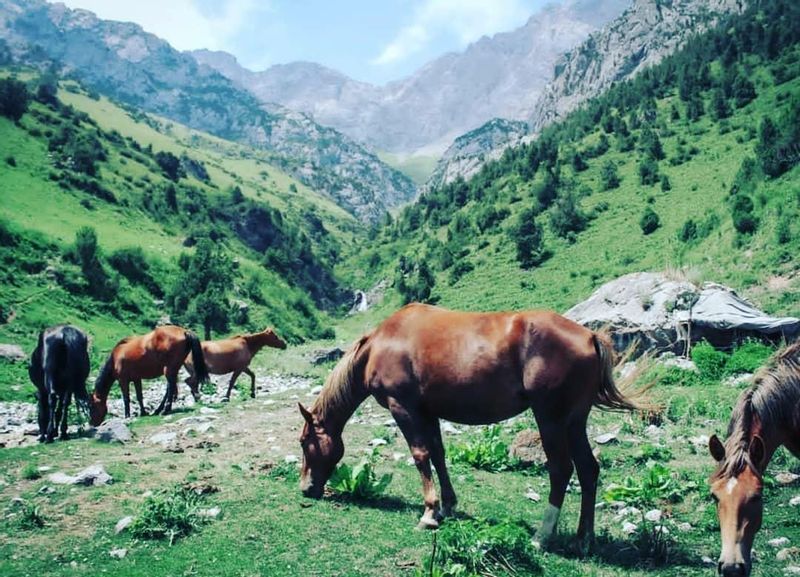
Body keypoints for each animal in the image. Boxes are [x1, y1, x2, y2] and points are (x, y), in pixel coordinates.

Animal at [296, 304, 640, 544]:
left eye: (304, 442)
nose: (306, 489)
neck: (381, 345)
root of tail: (589, 336)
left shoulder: (404, 409)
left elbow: (420, 456)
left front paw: (429, 513)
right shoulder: (428, 412)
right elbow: (438, 455)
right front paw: (447, 506)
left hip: (551, 420)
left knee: (561, 470)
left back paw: (542, 536)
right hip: (574, 422)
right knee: (588, 470)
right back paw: (585, 537)